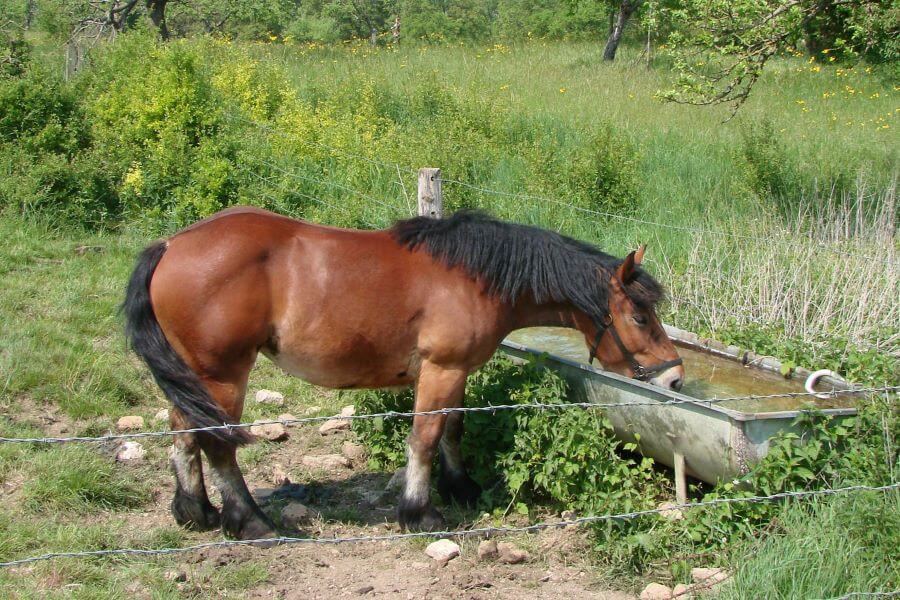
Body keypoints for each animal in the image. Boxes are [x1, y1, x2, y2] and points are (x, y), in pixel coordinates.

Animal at [123, 207, 684, 540]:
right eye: (640, 316)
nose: (675, 378)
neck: (474, 276)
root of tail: (170, 245)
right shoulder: (441, 369)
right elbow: (426, 437)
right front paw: (420, 512)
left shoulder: (454, 373)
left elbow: (454, 428)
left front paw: (461, 487)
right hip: (223, 376)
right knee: (217, 443)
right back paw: (250, 522)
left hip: (194, 378)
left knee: (182, 434)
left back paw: (196, 511)